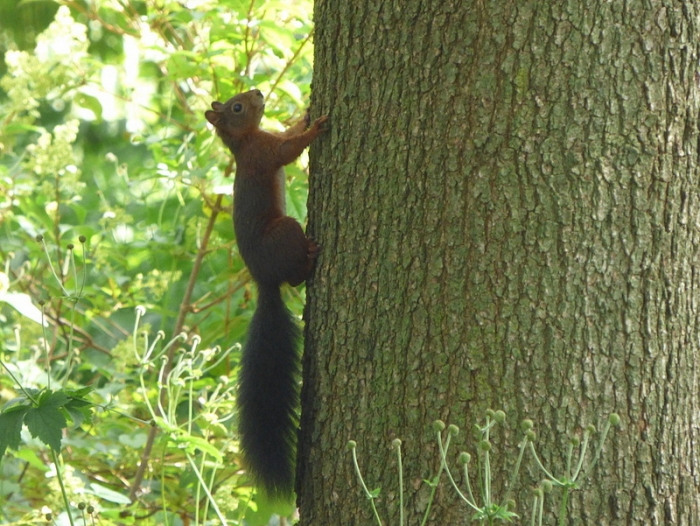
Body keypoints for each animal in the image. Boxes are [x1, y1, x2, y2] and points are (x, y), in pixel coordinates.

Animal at [205, 89, 328, 497]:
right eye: (237, 107)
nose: (258, 92)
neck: (244, 142)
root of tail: (263, 280)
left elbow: (288, 134)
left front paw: (305, 114)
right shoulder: (265, 152)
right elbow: (289, 150)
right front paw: (316, 128)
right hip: (286, 230)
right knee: (295, 277)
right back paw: (309, 257)